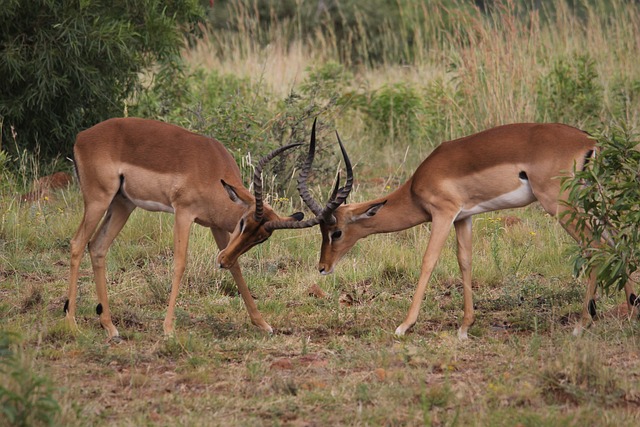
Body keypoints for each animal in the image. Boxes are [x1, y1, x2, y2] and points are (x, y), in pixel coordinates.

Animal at [65, 118, 308, 342]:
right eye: (242, 223)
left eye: (261, 239)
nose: (222, 262)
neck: (212, 170)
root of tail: (81, 137)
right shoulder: (183, 214)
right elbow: (180, 264)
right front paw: (168, 329)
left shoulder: (216, 226)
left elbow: (237, 268)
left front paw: (263, 324)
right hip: (99, 200)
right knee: (77, 243)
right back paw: (72, 324)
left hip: (123, 204)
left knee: (97, 247)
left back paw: (110, 327)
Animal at [298, 122, 636, 340]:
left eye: (336, 231)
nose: (323, 267)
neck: (416, 186)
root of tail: (588, 142)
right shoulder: (464, 218)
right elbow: (465, 262)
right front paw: (464, 327)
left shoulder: (443, 214)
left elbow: (428, 261)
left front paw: (404, 326)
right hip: (585, 201)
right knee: (614, 238)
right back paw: (632, 308)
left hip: (560, 204)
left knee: (595, 247)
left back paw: (583, 323)